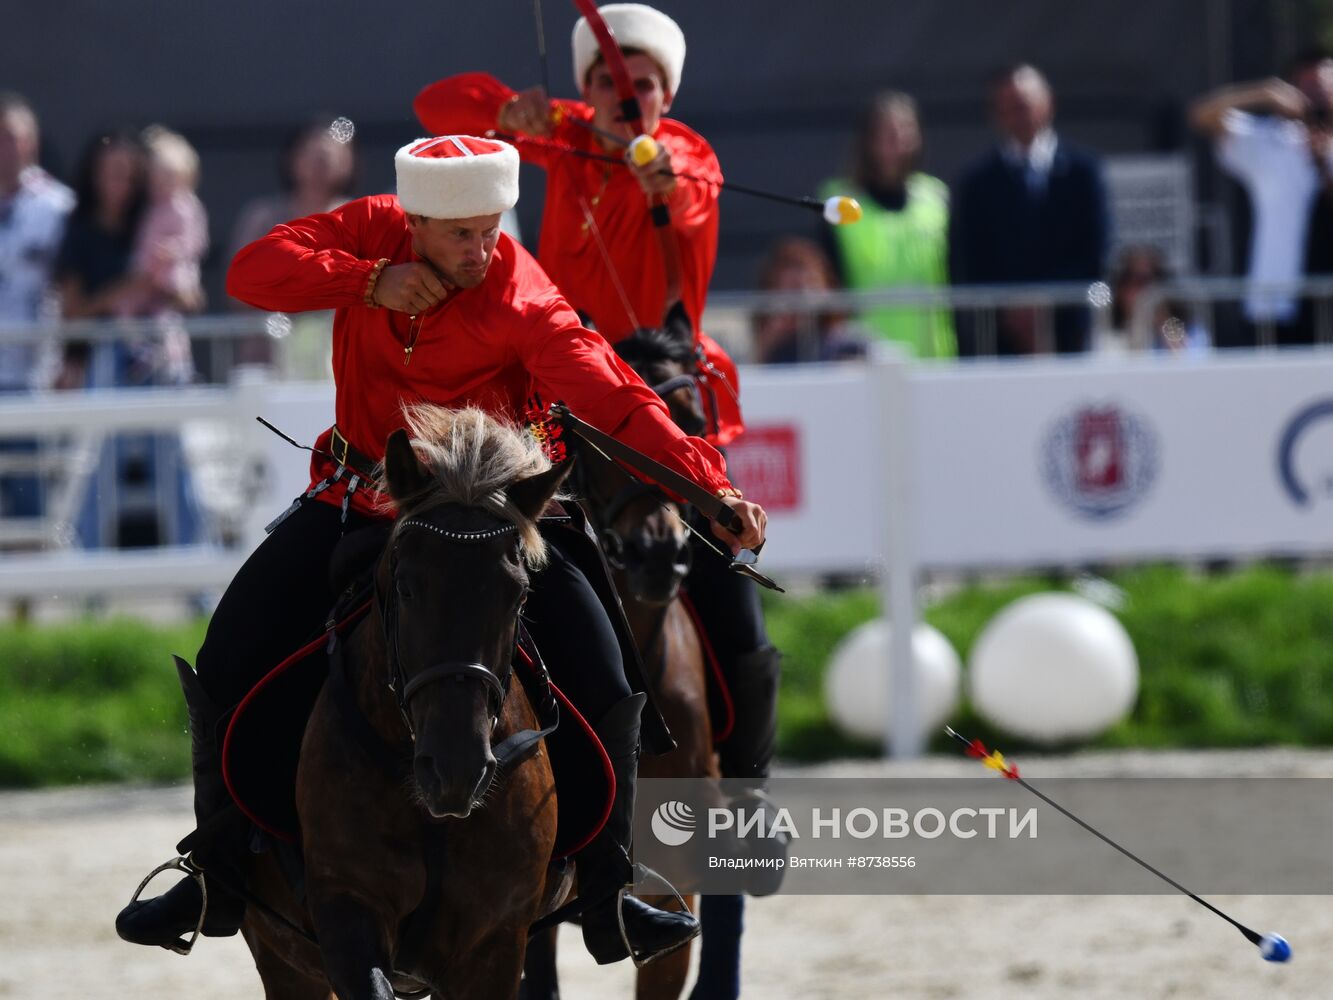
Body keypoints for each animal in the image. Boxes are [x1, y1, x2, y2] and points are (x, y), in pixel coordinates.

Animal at [239, 408, 567, 1000]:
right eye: (407, 586)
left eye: (519, 596)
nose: (456, 771)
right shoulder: (346, 907)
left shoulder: (495, 941)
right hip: (282, 956)